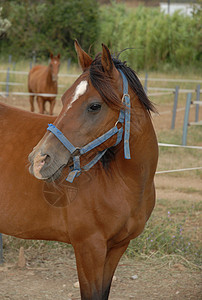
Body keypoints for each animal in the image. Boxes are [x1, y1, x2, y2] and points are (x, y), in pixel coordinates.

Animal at [0, 41, 158, 300]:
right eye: (64, 99)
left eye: (94, 106)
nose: (39, 159)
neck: (124, 182)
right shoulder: (88, 248)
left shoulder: (117, 247)